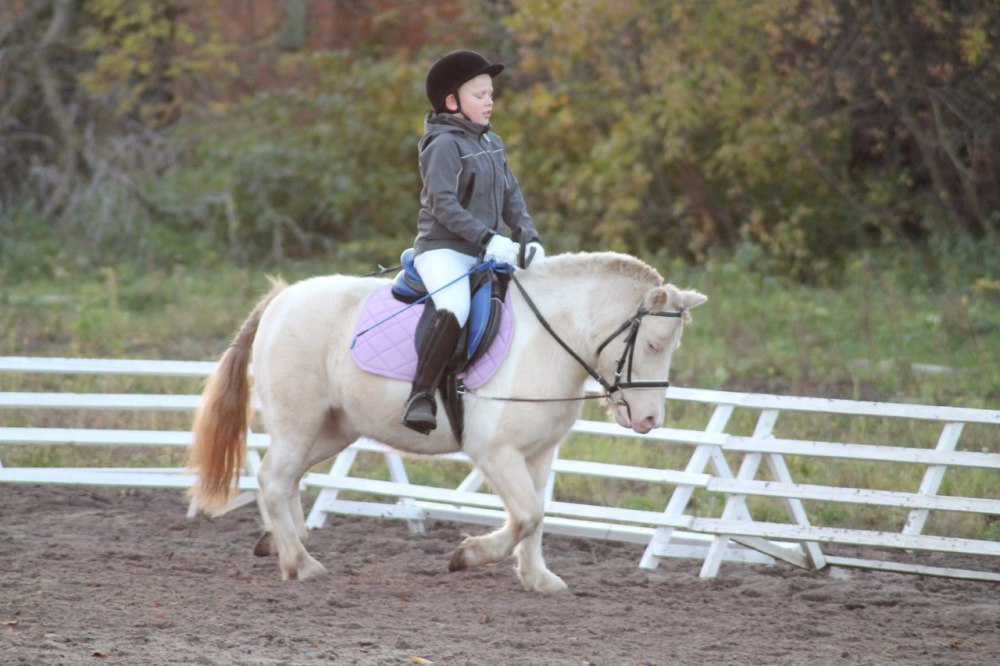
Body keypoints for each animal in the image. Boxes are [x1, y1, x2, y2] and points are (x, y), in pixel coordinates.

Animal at [186, 250, 704, 592]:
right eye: (653, 343)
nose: (650, 419)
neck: (548, 340)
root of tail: (281, 298)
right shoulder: (495, 452)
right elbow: (526, 514)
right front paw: (468, 555)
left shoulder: (538, 453)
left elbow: (537, 516)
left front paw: (538, 578)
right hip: (300, 422)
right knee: (275, 479)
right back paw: (300, 562)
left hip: (331, 429)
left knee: (286, 478)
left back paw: (279, 542)